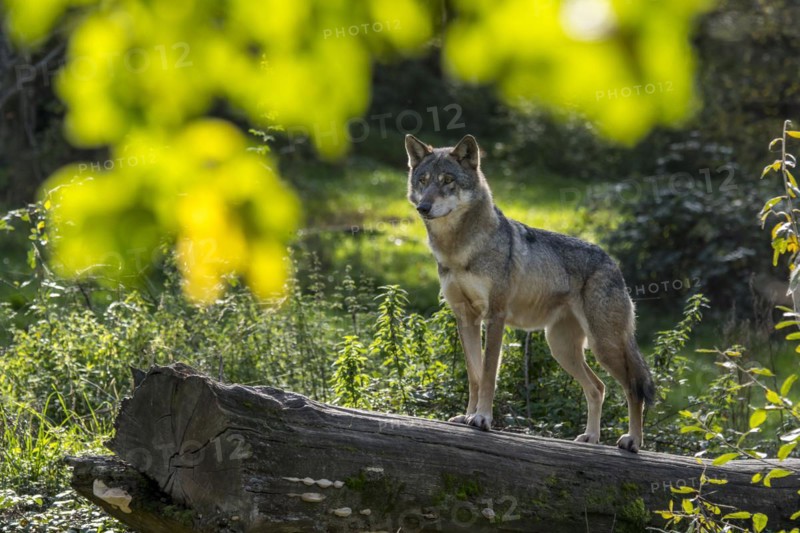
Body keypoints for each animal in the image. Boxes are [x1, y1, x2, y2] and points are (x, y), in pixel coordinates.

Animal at [405, 134, 655, 452]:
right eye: (423, 180)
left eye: (448, 180)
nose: (423, 208)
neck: (460, 249)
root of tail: (613, 263)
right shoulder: (465, 318)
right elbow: (474, 375)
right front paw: (468, 415)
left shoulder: (495, 316)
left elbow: (489, 374)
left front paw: (482, 418)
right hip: (561, 348)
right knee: (598, 388)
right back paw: (591, 438)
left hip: (604, 346)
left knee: (632, 388)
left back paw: (632, 440)